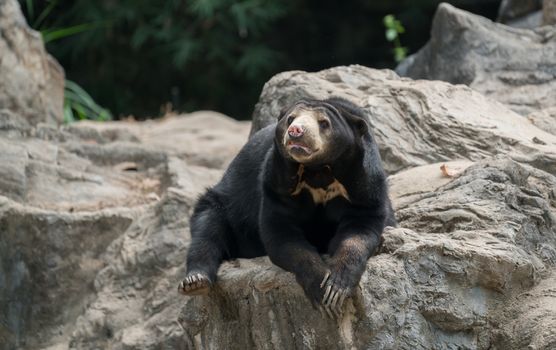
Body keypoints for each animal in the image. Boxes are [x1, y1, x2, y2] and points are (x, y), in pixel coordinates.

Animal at [178, 97, 396, 316]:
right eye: (291, 119)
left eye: (324, 123)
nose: (296, 131)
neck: (318, 171)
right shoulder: (277, 185)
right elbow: (282, 234)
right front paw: (320, 287)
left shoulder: (365, 186)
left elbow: (359, 231)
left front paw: (336, 288)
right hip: (225, 204)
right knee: (207, 230)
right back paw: (195, 281)